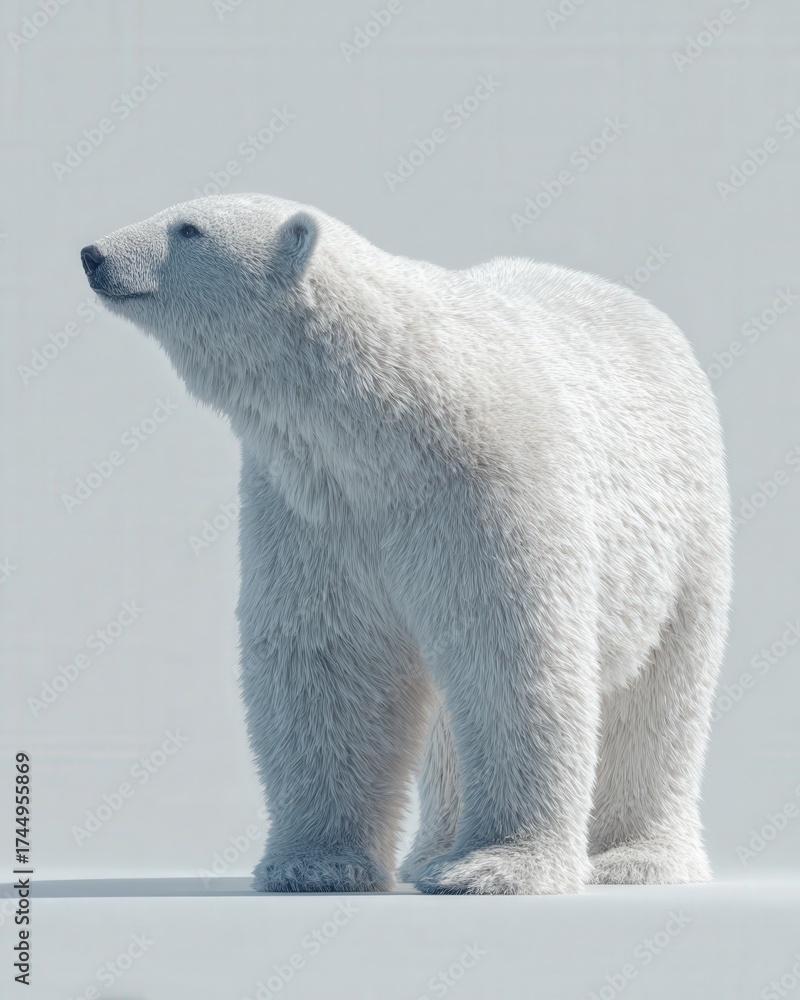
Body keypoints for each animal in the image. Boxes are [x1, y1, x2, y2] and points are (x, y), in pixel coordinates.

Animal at [80, 193, 732, 895]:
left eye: (189, 227)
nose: (93, 255)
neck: (392, 417)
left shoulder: (491, 486)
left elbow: (513, 655)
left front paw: (497, 867)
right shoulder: (315, 507)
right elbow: (329, 659)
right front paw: (314, 865)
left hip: (686, 529)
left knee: (662, 695)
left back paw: (635, 859)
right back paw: (431, 855)